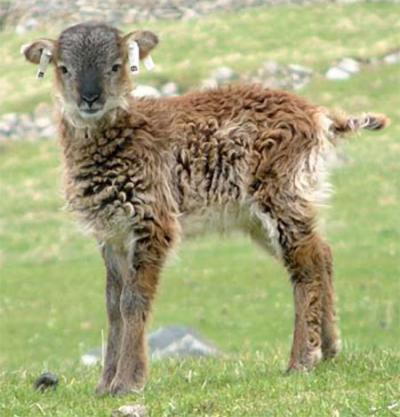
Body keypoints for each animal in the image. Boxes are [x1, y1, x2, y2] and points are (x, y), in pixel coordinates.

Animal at [21, 22, 388, 394]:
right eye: (64, 68)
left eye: (116, 65)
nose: (90, 98)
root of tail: (318, 115)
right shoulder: (110, 233)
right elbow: (112, 304)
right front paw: (104, 385)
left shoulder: (153, 220)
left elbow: (133, 300)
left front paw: (127, 382)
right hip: (261, 215)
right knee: (322, 251)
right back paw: (329, 348)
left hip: (281, 191)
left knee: (306, 264)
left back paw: (302, 359)